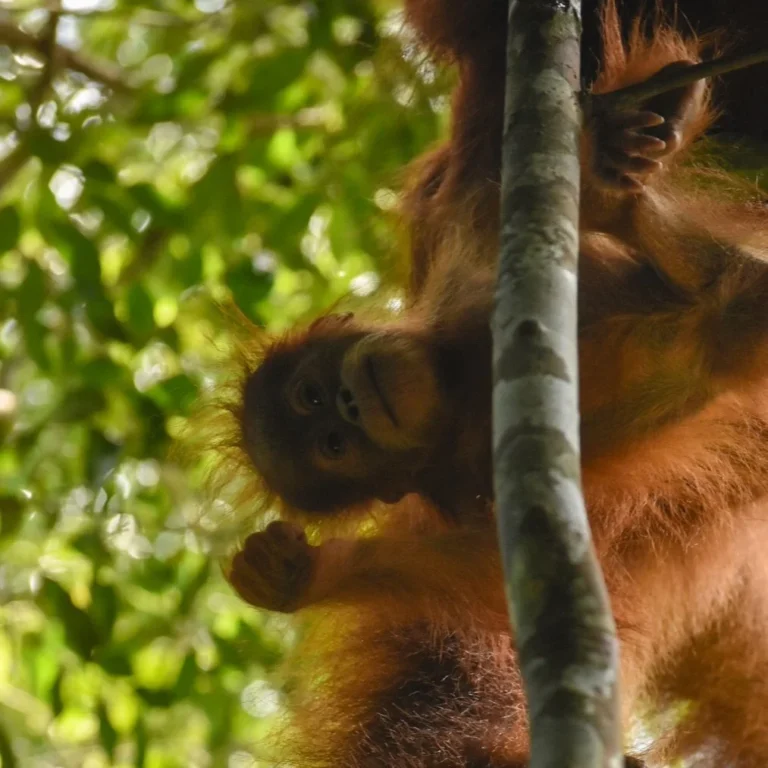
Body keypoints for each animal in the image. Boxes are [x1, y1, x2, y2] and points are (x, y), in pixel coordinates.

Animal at [196, 2, 768, 766]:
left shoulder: (469, 231)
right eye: (332, 446)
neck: (460, 370)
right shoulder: (470, 486)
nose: (349, 404)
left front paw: (623, 163)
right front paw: (304, 576)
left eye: (313, 399)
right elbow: (496, 568)